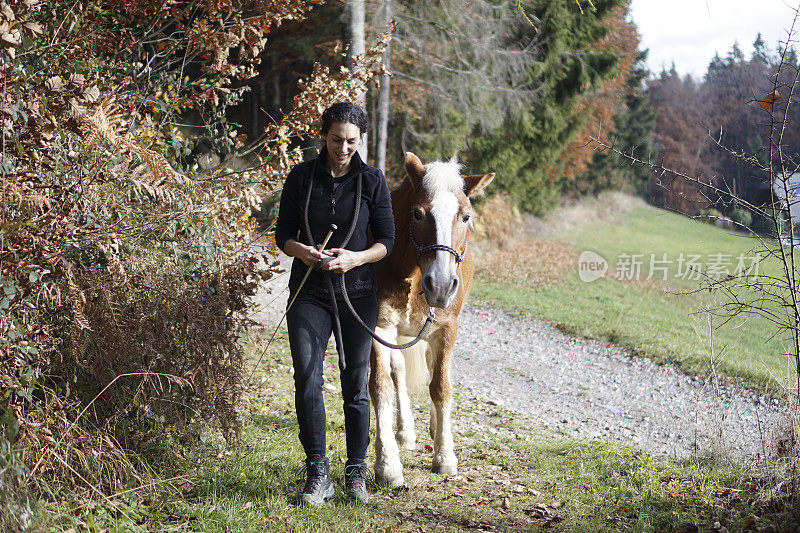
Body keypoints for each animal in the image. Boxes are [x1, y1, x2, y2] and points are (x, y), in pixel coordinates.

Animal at [368, 150, 494, 486]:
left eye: (465, 216)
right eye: (417, 214)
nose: (441, 284)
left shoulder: (445, 330)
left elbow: (441, 387)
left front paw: (444, 454)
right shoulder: (379, 327)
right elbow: (381, 386)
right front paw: (387, 464)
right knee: (398, 371)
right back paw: (405, 431)